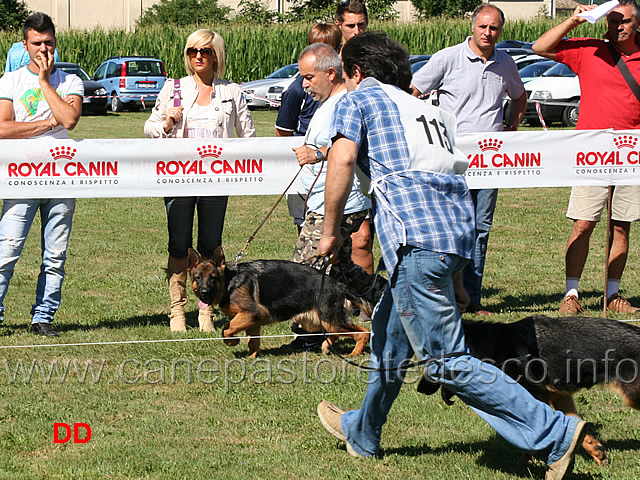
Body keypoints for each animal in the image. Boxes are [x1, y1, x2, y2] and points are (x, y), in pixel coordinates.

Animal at [186, 248, 370, 356]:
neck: (229, 282)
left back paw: (354, 354)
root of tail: (338, 284)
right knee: (335, 333)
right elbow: (253, 342)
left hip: (330, 320)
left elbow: (226, 329)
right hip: (316, 321)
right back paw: (326, 347)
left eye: (213, 278)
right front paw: (251, 359)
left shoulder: (251, 313)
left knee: (363, 333)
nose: (203, 293)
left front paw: (233, 341)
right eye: (198, 278)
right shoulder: (253, 321)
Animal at [418, 316, 640, 464]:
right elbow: (575, 424)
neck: (496, 346)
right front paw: (595, 450)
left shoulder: (537, 398)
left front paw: (528, 459)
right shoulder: (560, 397)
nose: (420, 389)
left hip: (632, 397)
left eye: (431, 364)